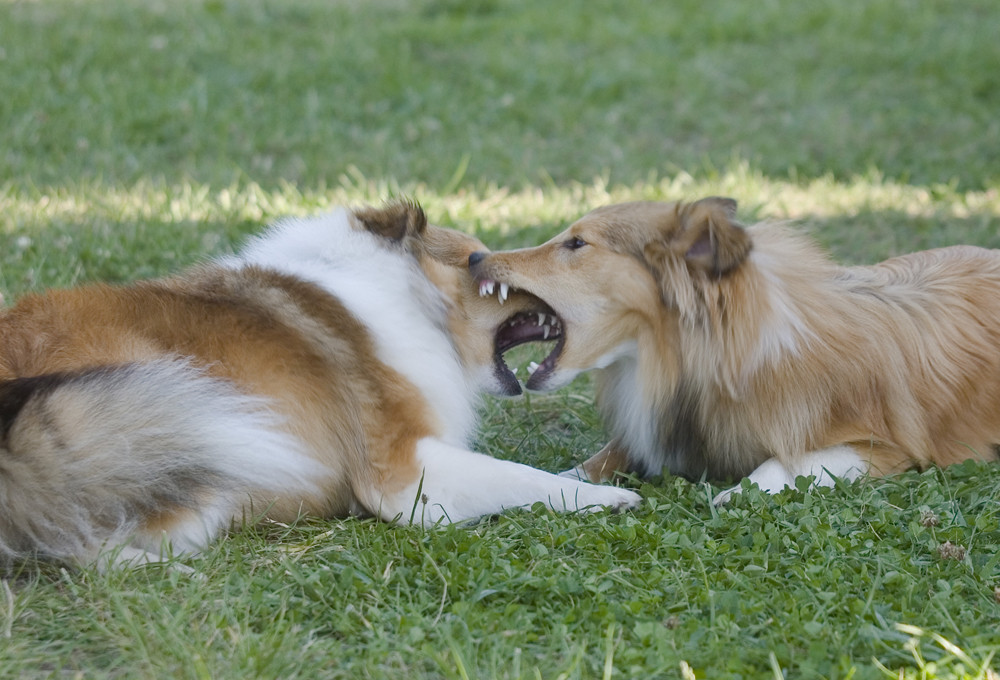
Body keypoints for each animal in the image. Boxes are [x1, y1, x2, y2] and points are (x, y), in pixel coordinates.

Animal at [472, 197, 1000, 504]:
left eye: (577, 243)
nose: (476, 256)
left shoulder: (885, 447)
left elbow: (789, 460)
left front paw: (740, 493)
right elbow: (600, 458)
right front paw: (562, 481)